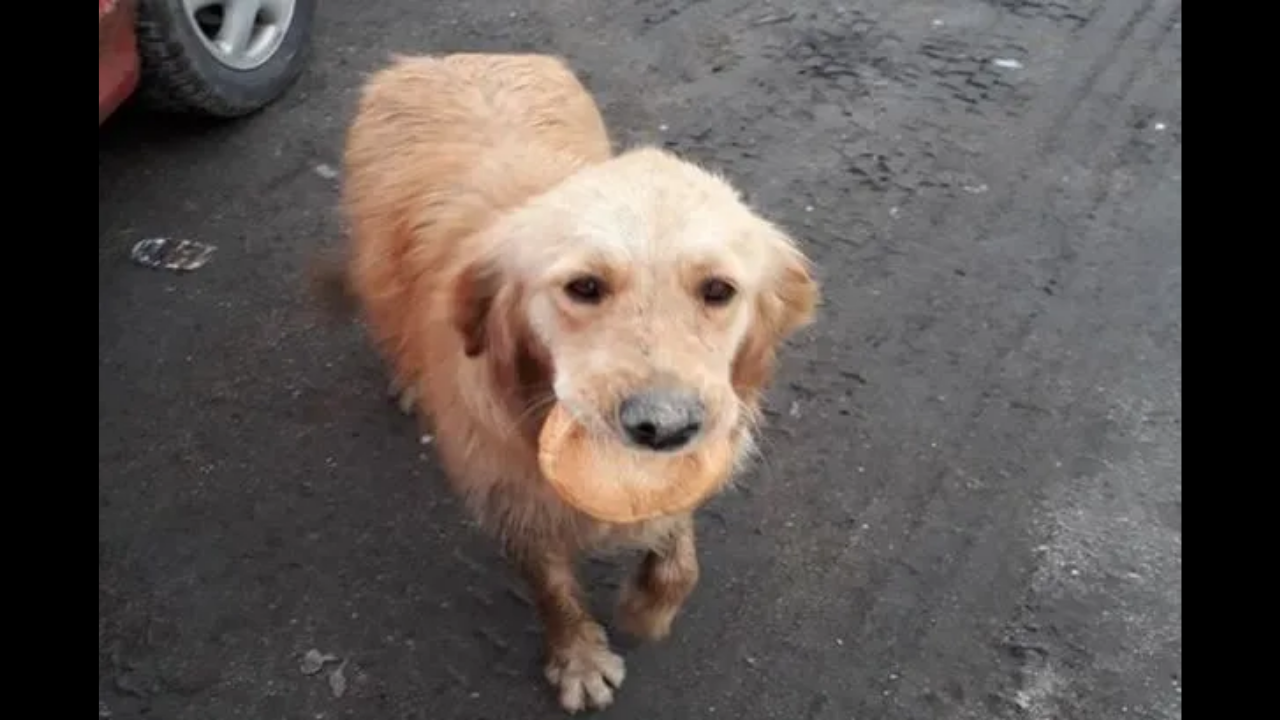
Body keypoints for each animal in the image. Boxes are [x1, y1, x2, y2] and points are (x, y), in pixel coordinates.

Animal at [330, 53, 819, 707]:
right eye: (584, 286)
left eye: (718, 290)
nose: (663, 427)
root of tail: (446, 58)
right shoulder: (513, 495)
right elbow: (551, 587)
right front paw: (579, 659)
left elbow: (679, 558)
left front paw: (647, 610)